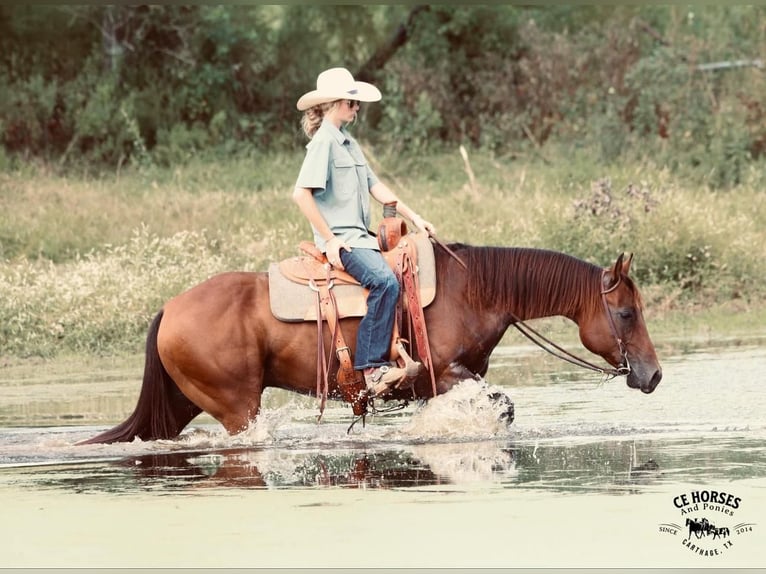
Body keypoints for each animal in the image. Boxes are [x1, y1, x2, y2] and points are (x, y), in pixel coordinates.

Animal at [81, 243, 664, 446]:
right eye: (627, 313)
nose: (653, 374)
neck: (474, 290)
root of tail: (171, 308)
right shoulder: (444, 372)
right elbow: (503, 406)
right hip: (235, 406)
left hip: (184, 401)